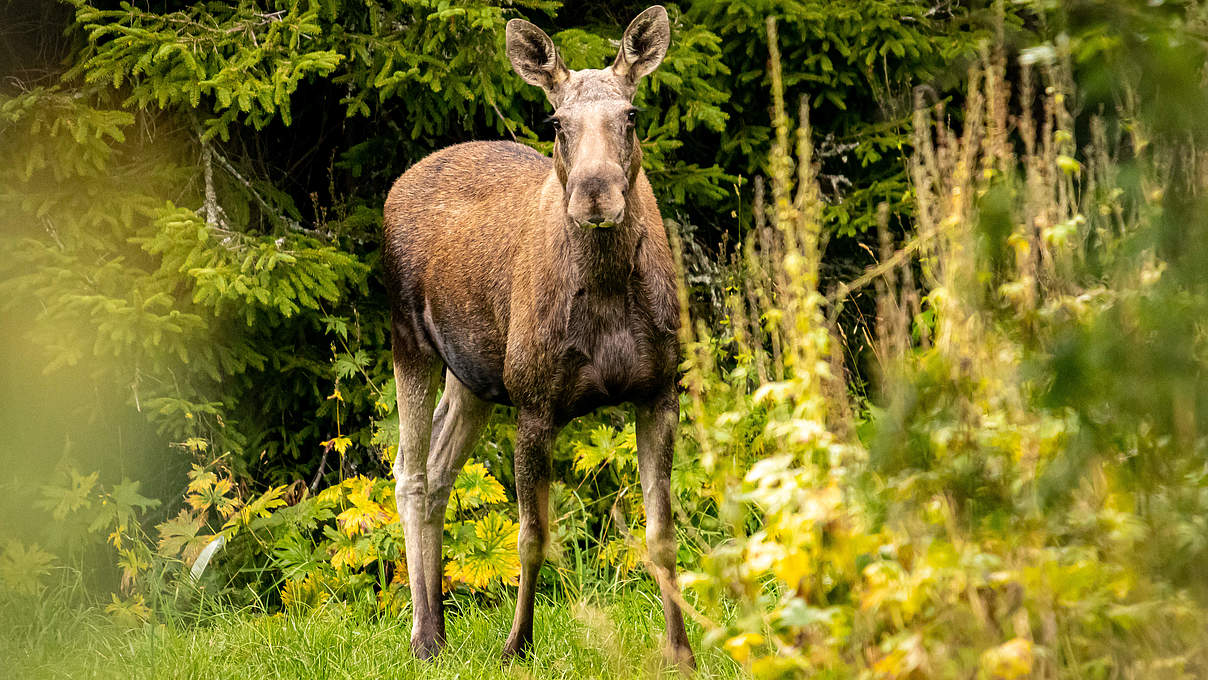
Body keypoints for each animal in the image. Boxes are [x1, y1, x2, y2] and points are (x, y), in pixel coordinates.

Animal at [381, 2, 695, 671]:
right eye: (555, 121)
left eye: (632, 115)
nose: (596, 193)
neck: (607, 296)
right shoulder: (533, 401)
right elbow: (531, 535)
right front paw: (516, 643)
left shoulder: (660, 391)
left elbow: (661, 533)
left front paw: (681, 651)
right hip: (409, 339)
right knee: (410, 472)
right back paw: (423, 635)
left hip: (473, 375)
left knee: (441, 470)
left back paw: (439, 625)